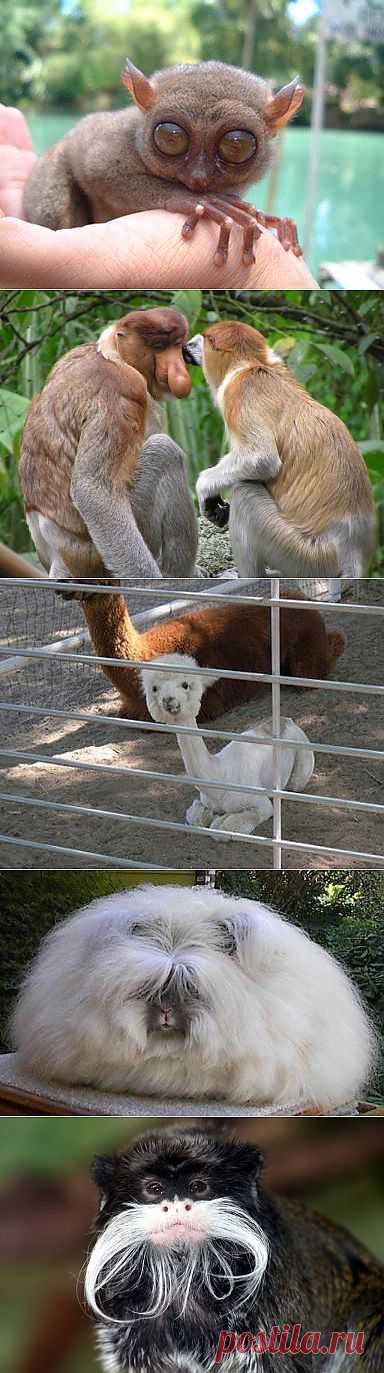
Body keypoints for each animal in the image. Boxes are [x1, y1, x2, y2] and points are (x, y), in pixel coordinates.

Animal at [22, 61, 304, 264]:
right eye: (171, 138)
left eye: (237, 145)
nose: (198, 177)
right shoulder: (112, 144)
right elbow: (98, 171)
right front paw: (202, 203)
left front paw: (270, 218)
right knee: (52, 207)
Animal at [186, 324, 378, 576]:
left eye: (205, 339)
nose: (188, 345)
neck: (251, 366)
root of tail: (352, 556)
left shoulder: (240, 393)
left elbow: (260, 459)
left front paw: (205, 492)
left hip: (303, 556)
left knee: (244, 493)